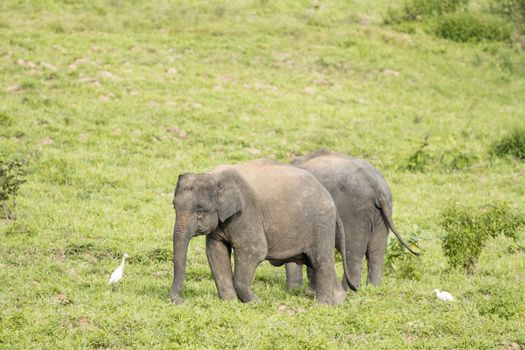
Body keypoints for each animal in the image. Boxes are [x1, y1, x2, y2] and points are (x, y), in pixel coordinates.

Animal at [170, 159, 354, 304]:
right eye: (174, 207)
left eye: (201, 211)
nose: (178, 300)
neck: (215, 176)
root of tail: (329, 196)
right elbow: (216, 252)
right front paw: (230, 302)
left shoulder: (246, 213)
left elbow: (254, 250)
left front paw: (255, 302)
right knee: (316, 262)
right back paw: (338, 301)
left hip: (321, 223)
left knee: (321, 261)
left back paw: (322, 305)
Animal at [284, 150, 416, 290]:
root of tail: (376, 187)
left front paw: (294, 291)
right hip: (381, 215)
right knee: (376, 253)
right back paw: (372, 289)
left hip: (355, 213)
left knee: (353, 255)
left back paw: (349, 290)